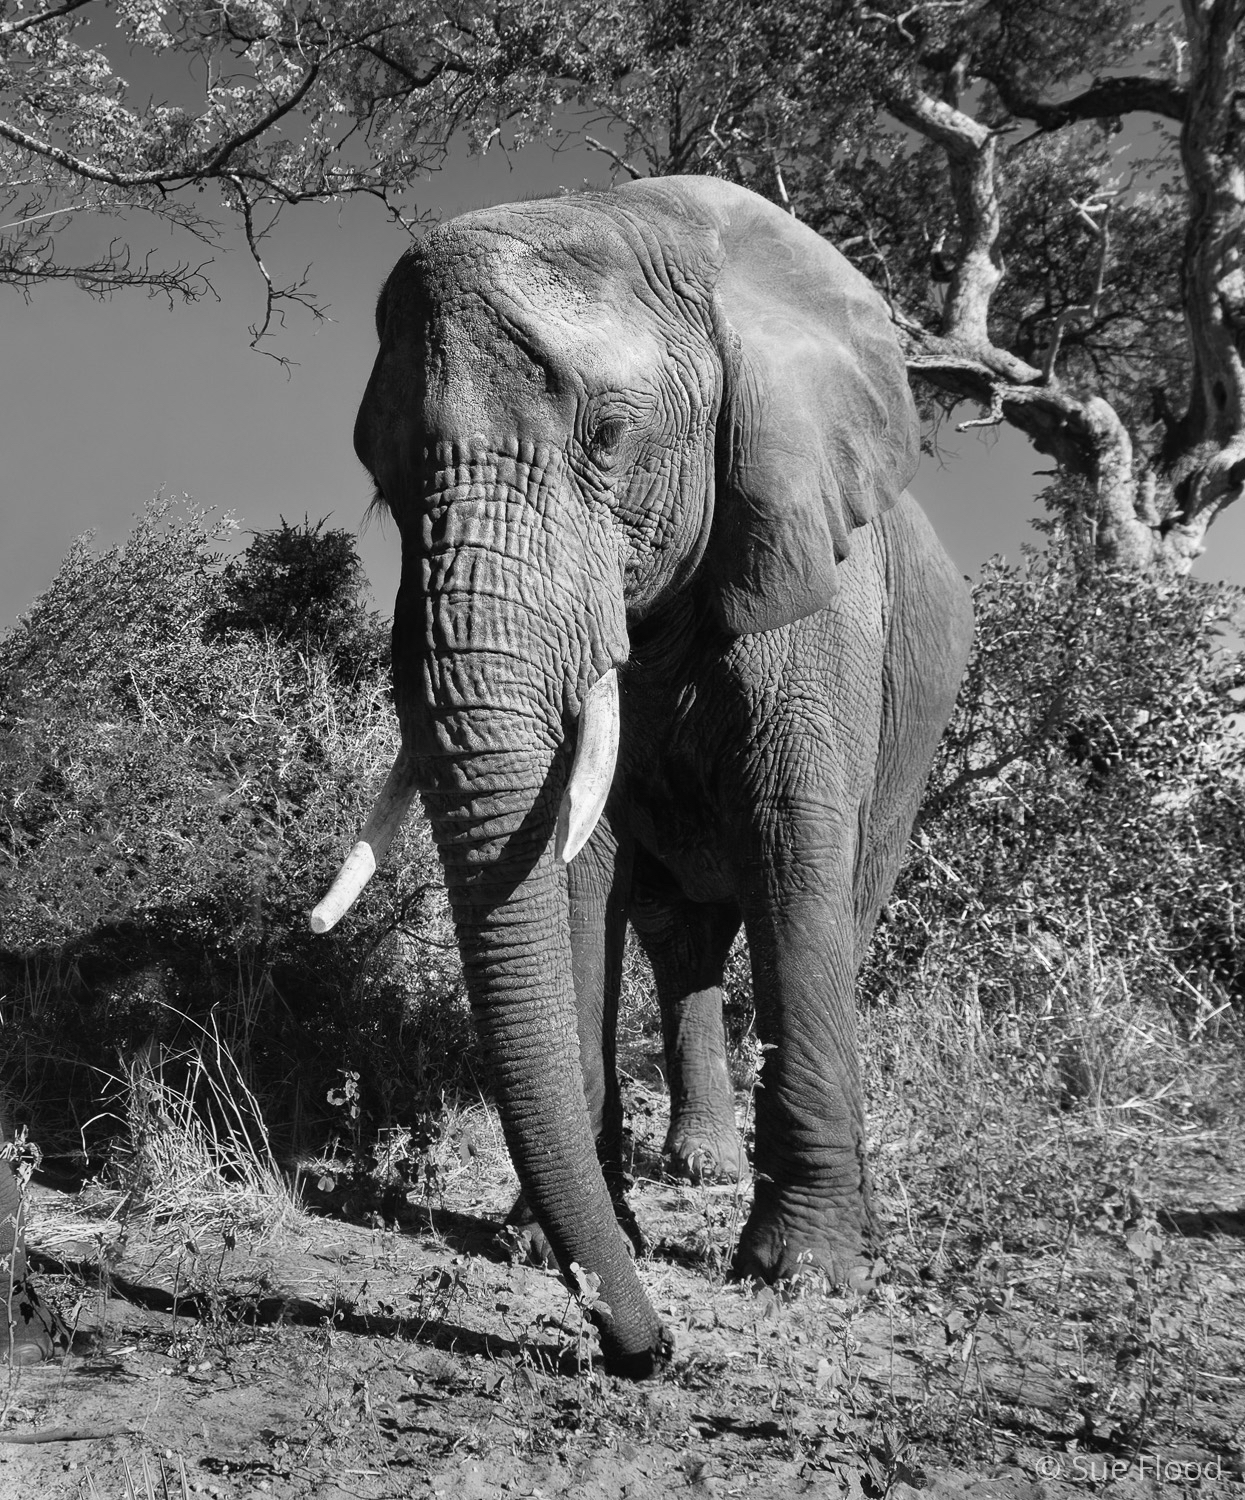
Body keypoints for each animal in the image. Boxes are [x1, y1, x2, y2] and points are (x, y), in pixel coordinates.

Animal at [309, 172, 972, 1374]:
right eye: (382, 486)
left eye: (611, 438)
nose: (649, 1351)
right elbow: (577, 862)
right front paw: (536, 1245)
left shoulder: (816, 579)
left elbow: (795, 843)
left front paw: (806, 1273)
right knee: (680, 941)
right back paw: (694, 1165)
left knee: (837, 898)